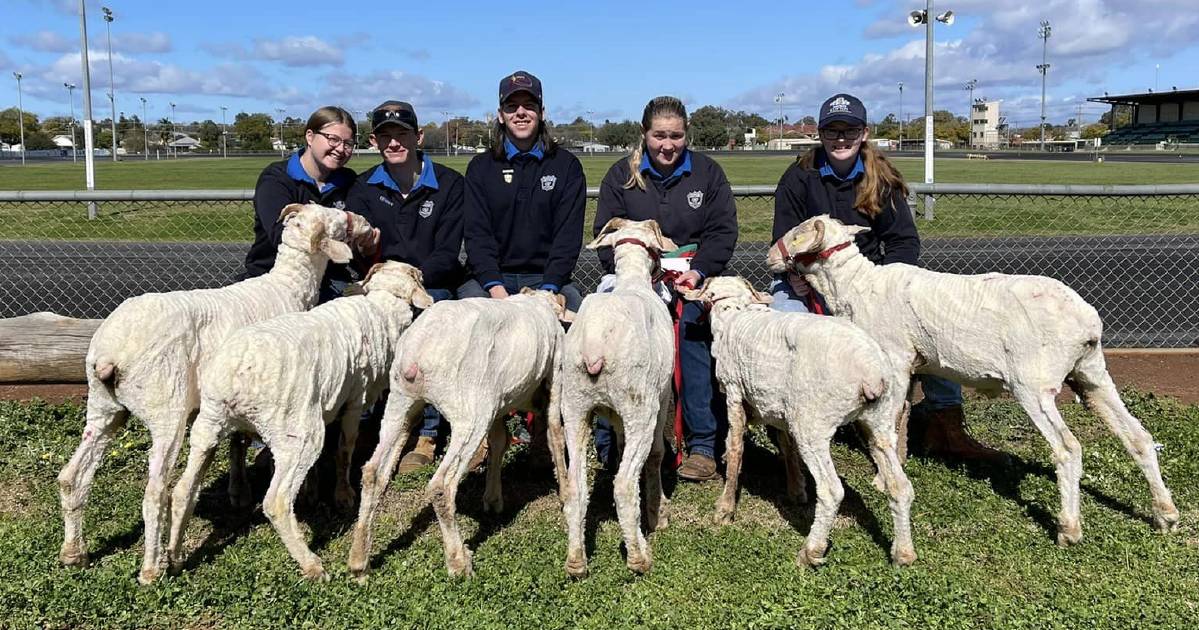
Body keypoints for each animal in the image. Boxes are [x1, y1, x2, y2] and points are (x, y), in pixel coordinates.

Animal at [58, 202, 376, 585]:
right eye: (337, 220)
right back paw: (151, 569)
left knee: (71, 476)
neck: (287, 288)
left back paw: (74, 553)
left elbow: (236, 442)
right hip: (165, 406)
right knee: (155, 492)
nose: (365, 223)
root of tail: (110, 354)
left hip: (103, 406)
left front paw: (238, 492)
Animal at [164, 260, 431, 580]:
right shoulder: (355, 400)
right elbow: (345, 450)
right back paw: (312, 565)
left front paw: (311, 492)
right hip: (297, 433)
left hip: (211, 424)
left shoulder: (324, 404)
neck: (382, 306)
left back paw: (174, 558)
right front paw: (343, 495)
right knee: (276, 502)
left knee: (183, 490)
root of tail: (238, 371)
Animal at [347, 286, 570, 578]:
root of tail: (417, 353)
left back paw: (359, 561)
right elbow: (555, 434)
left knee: (373, 472)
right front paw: (567, 495)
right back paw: (459, 562)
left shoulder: (498, 400)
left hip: (401, 401)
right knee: (441, 486)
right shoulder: (554, 377)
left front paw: (493, 500)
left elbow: (499, 442)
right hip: (469, 412)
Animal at [685, 277, 916, 566]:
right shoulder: (777, 404)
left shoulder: (735, 392)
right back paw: (903, 553)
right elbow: (786, 446)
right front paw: (796, 489)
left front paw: (725, 509)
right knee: (900, 486)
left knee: (831, 490)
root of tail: (872, 372)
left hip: (814, 422)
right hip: (879, 420)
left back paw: (811, 551)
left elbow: (736, 448)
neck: (734, 314)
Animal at [767, 213, 1179, 542]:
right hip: (1091, 374)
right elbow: (900, 417)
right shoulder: (908, 365)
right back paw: (1166, 513)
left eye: (800, 232)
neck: (854, 287)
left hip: (1034, 383)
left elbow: (888, 422)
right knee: (1138, 437)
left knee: (1067, 448)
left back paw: (1069, 528)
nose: (770, 255)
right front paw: (893, 467)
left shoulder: (895, 360)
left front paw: (884, 476)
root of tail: (1088, 322)